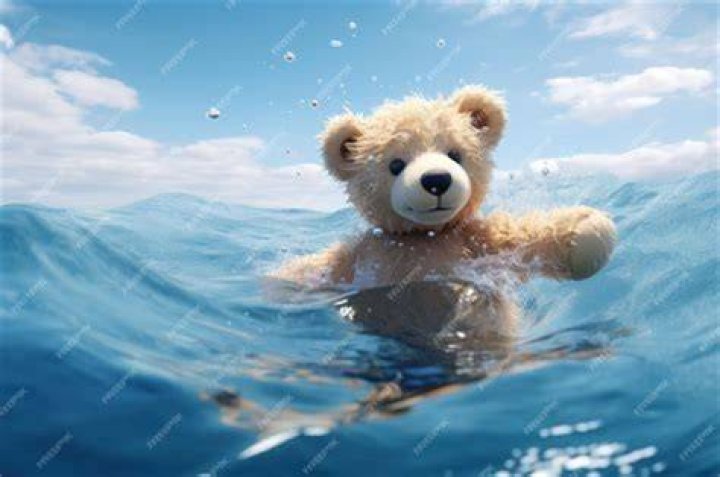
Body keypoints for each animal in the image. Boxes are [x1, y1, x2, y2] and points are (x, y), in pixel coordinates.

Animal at [271, 85, 616, 351]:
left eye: (455, 155)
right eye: (395, 164)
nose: (436, 179)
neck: (426, 236)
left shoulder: (477, 240)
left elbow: (525, 238)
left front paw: (589, 230)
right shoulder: (365, 252)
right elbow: (319, 269)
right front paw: (278, 280)